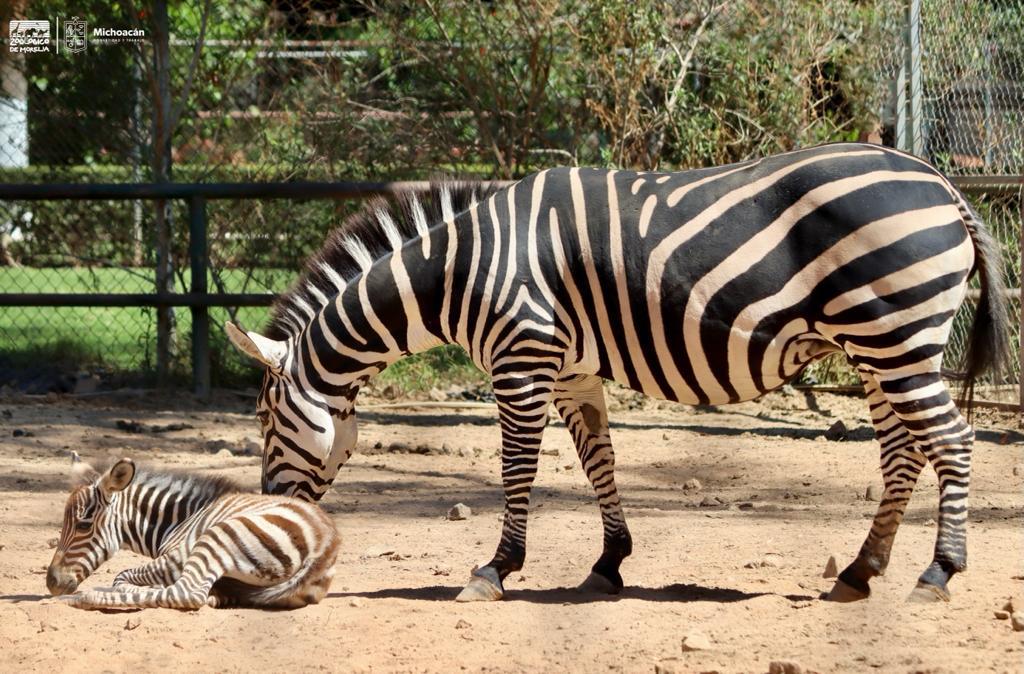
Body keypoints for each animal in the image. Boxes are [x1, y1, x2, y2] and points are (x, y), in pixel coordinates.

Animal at [47, 454, 339, 606]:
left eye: (84, 525)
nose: (51, 583)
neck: (180, 519)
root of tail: (324, 546)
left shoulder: (175, 558)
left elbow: (120, 578)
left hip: (217, 538)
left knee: (187, 593)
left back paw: (85, 597)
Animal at [226, 140, 1007, 598]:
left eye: (265, 419)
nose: (271, 504)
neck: (458, 273)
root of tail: (941, 182)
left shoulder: (521, 359)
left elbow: (517, 469)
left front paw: (496, 569)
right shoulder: (570, 369)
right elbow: (599, 459)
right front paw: (610, 562)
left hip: (894, 335)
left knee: (953, 441)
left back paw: (939, 571)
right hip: (881, 345)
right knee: (905, 451)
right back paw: (858, 571)